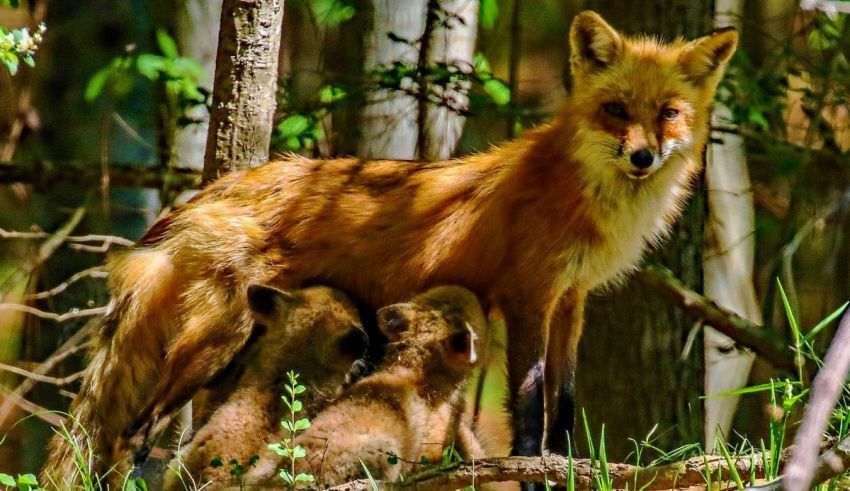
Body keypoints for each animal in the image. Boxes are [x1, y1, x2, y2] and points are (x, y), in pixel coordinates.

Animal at [43, 9, 736, 486]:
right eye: (616, 109)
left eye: (669, 113)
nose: (643, 157)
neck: (585, 198)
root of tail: (209, 192)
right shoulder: (528, 296)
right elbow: (529, 407)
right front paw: (533, 471)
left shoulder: (571, 300)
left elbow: (562, 405)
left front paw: (567, 466)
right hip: (208, 348)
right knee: (131, 438)